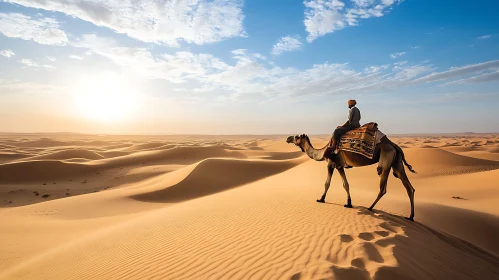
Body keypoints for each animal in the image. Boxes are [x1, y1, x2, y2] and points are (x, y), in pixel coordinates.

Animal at [286, 132, 418, 221]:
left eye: (296, 137)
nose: (288, 138)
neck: (323, 152)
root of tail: (395, 146)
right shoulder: (340, 166)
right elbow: (346, 184)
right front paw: (348, 203)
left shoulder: (331, 163)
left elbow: (327, 183)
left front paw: (321, 199)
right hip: (397, 163)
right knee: (409, 188)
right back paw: (410, 216)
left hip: (386, 162)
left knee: (383, 189)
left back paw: (370, 208)